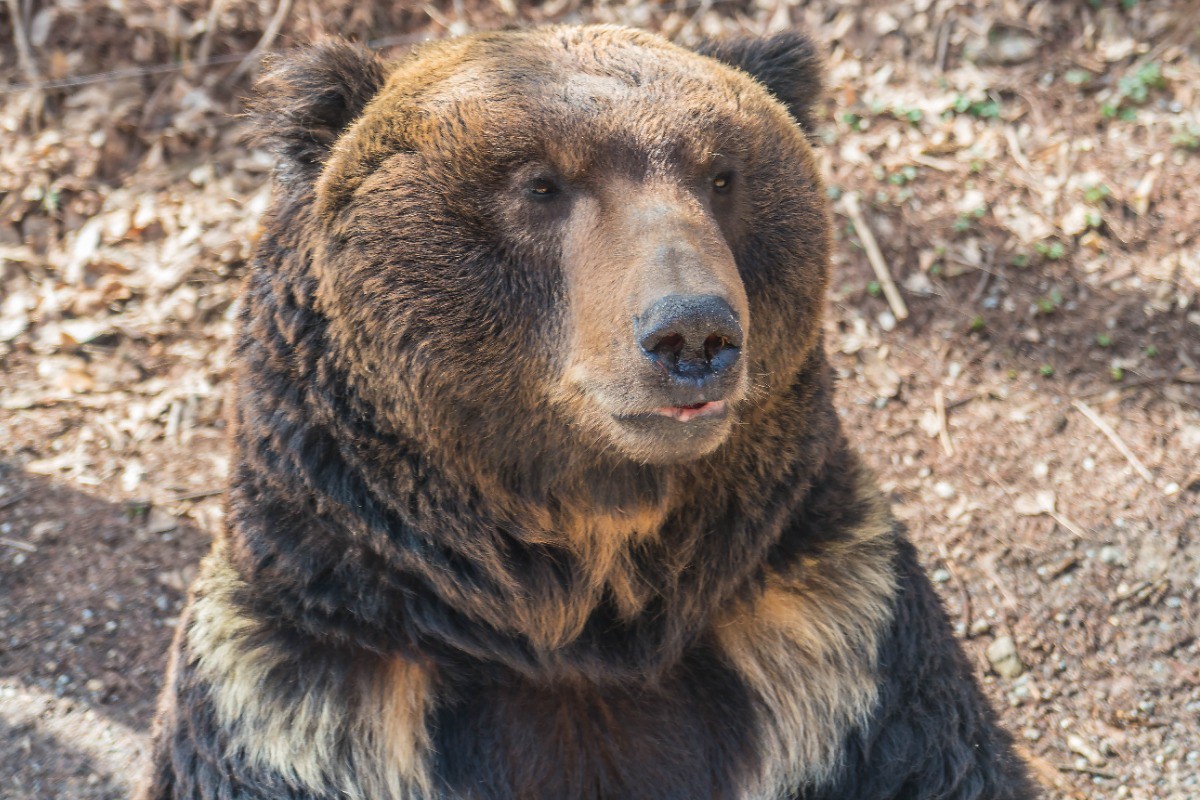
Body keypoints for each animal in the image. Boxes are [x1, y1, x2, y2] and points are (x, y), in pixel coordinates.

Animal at [138, 25, 1035, 800]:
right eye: (540, 184)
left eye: (722, 175)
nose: (693, 333)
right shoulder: (306, 700)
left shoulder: (842, 655)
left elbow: (941, 755)